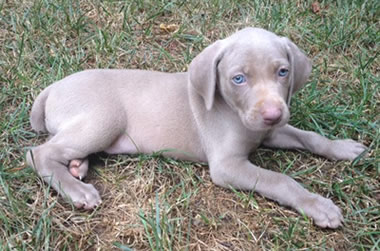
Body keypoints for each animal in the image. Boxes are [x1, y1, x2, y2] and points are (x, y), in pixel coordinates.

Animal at [26, 27, 366, 227]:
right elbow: (280, 180)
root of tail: (52, 87)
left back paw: (77, 166)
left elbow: (309, 137)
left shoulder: (271, 131)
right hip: (104, 119)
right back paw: (77, 190)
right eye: (238, 78)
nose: (272, 113)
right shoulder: (227, 166)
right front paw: (318, 205)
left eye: (282, 72)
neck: (234, 111)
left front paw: (343, 147)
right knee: (38, 153)